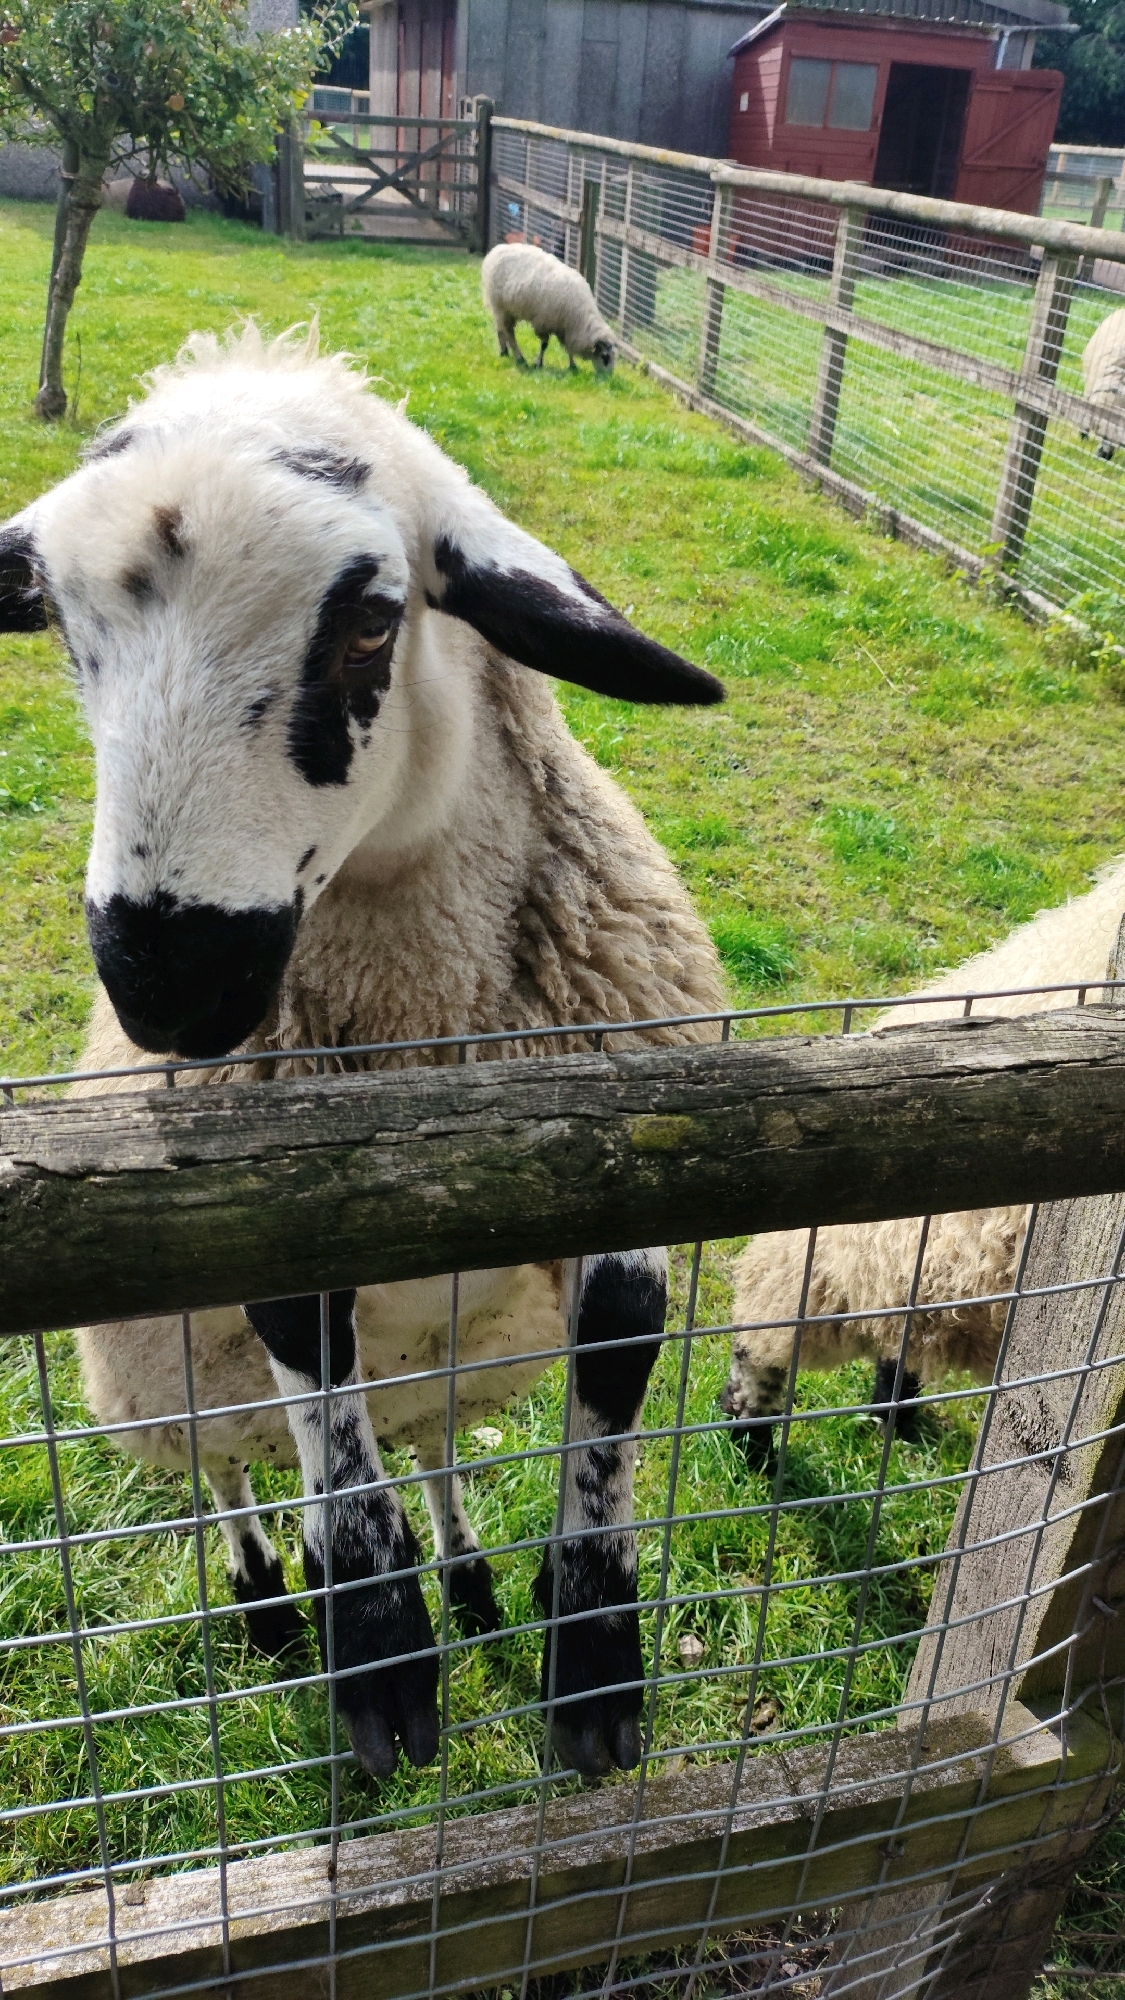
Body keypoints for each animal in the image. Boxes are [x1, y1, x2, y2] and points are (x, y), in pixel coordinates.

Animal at [0, 321, 726, 1783]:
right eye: (53, 621)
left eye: (374, 621)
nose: (167, 983)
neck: (419, 1028)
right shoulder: (258, 1197)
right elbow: (312, 1380)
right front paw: (380, 1650)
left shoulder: (626, 1138)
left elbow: (618, 1347)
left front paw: (592, 1655)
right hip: (158, 1378)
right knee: (235, 1468)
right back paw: (273, 1598)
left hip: (453, 1352)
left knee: (423, 1434)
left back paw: (471, 1574)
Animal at [482, 243, 616, 373]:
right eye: (605, 357)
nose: (608, 378)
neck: (580, 318)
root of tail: (496, 250)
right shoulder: (544, 323)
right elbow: (544, 345)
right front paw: (538, 364)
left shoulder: (564, 328)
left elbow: (568, 347)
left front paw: (573, 366)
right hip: (501, 306)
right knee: (509, 333)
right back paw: (520, 358)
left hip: (503, 309)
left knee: (500, 329)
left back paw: (504, 352)